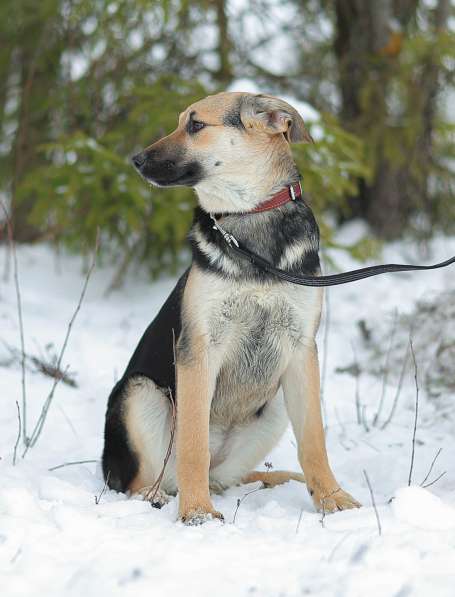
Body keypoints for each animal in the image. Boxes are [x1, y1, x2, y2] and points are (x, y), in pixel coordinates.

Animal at [101, 91, 362, 524]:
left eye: (195, 125)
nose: (136, 160)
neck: (249, 218)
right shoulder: (200, 347)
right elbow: (193, 445)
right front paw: (197, 513)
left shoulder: (301, 350)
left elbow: (313, 441)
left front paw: (331, 498)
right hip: (140, 394)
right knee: (146, 480)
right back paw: (159, 498)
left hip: (274, 407)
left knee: (224, 478)